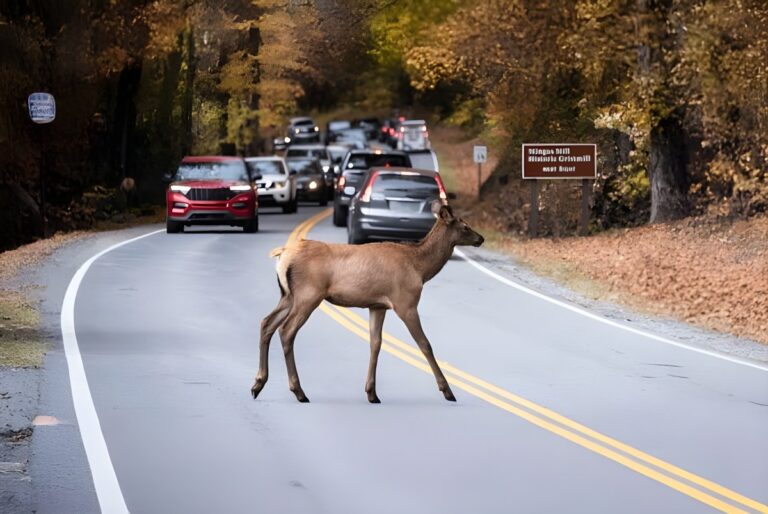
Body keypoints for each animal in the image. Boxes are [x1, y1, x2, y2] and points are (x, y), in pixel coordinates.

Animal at [251, 204, 484, 403]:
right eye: (464, 225)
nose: (481, 238)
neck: (420, 268)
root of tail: (282, 254)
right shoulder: (405, 302)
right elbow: (425, 344)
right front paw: (447, 390)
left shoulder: (378, 306)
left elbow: (376, 344)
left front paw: (372, 393)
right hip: (308, 294)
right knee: (286, 330)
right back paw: (298, 391)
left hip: (288, 295)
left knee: (266, 323)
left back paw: (258, 384)